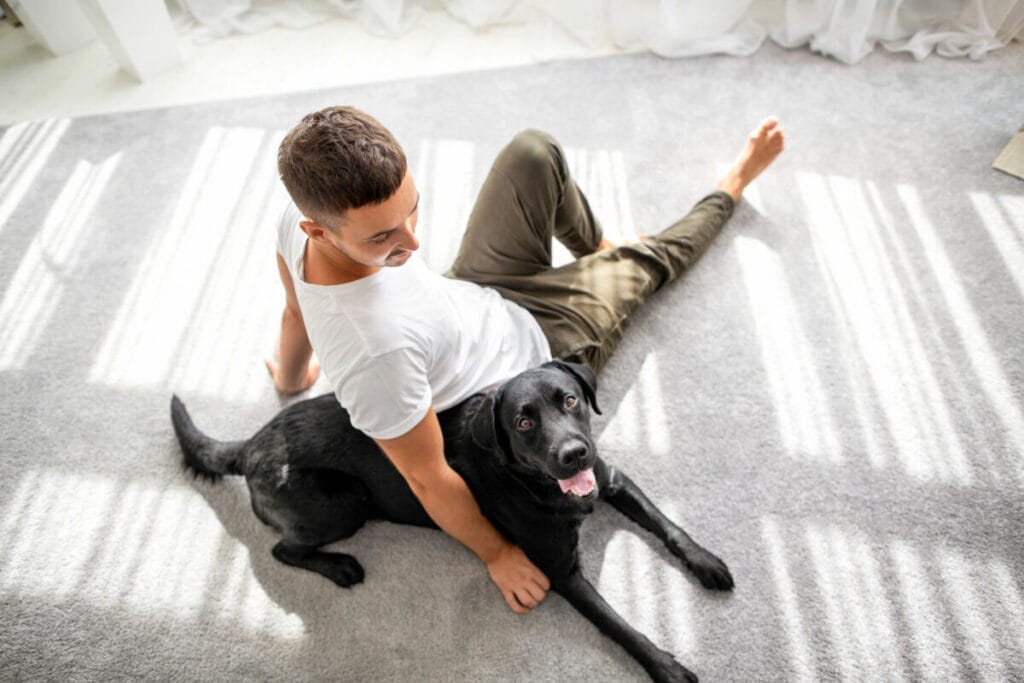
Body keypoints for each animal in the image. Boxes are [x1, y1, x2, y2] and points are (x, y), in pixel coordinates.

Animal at [172, 360, 733, 679]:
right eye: (523, 421)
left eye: (570, 399)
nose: (574, 454)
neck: (536, 483)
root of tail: (251, 443)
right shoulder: (561, 572)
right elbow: (619, 626)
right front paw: (666, 666)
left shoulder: (614, 480)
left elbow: (670, 527)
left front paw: (707, 563)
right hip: (345, 504)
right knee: (281, 549)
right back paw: (340, 567)